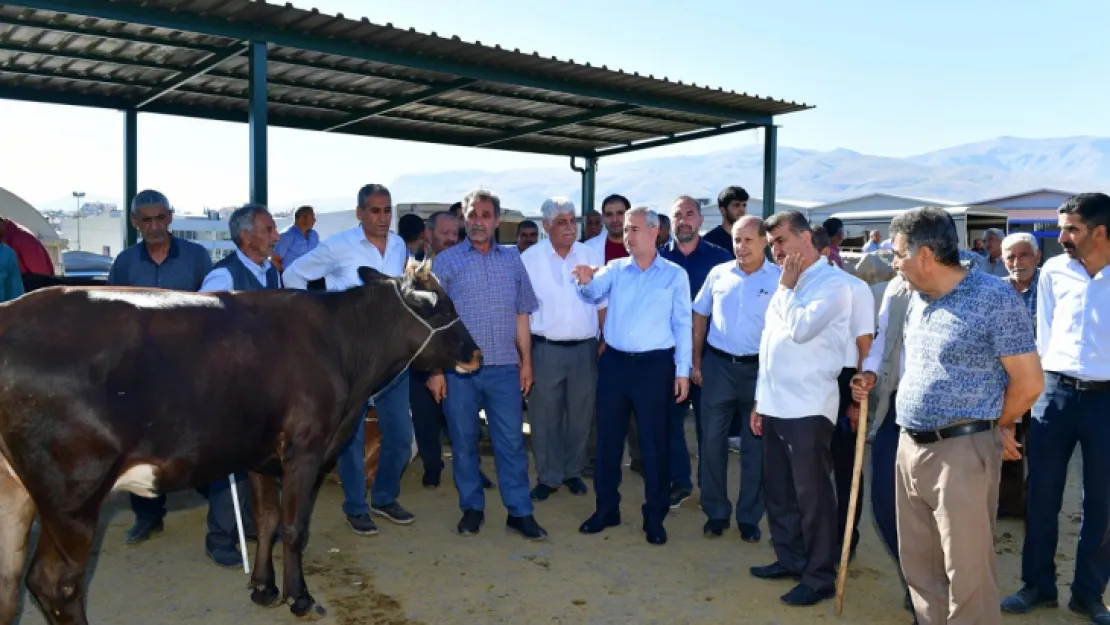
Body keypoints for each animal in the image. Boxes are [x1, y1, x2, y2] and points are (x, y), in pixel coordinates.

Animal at [0, 263, 477, 625]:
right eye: (445, 308)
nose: (477, 354)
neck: (343, 348)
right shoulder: (306, 448)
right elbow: (294, 527)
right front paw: (299, 597)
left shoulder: (259, 456)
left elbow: (266, 520)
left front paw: (263, 588)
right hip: (73, 492)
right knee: (55, 582)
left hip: (19, 493)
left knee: (10, 580)